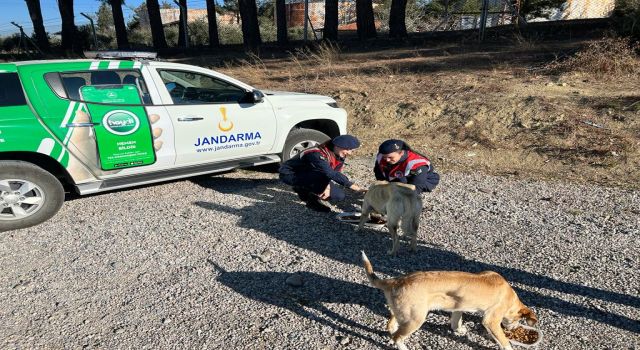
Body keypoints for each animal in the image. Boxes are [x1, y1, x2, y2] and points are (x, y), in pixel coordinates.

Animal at [362, 252, 536, 350]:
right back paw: (403, 347)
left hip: (403, 312)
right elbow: (504, 341)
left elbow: (456, 319)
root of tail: (396, 281)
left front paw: (458, 329)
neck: (510, 296)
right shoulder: (491, 320)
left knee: (391, 325)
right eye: (518, 320)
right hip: (415, 319)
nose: (514, 328)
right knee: (397, 337)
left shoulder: (458, 305)